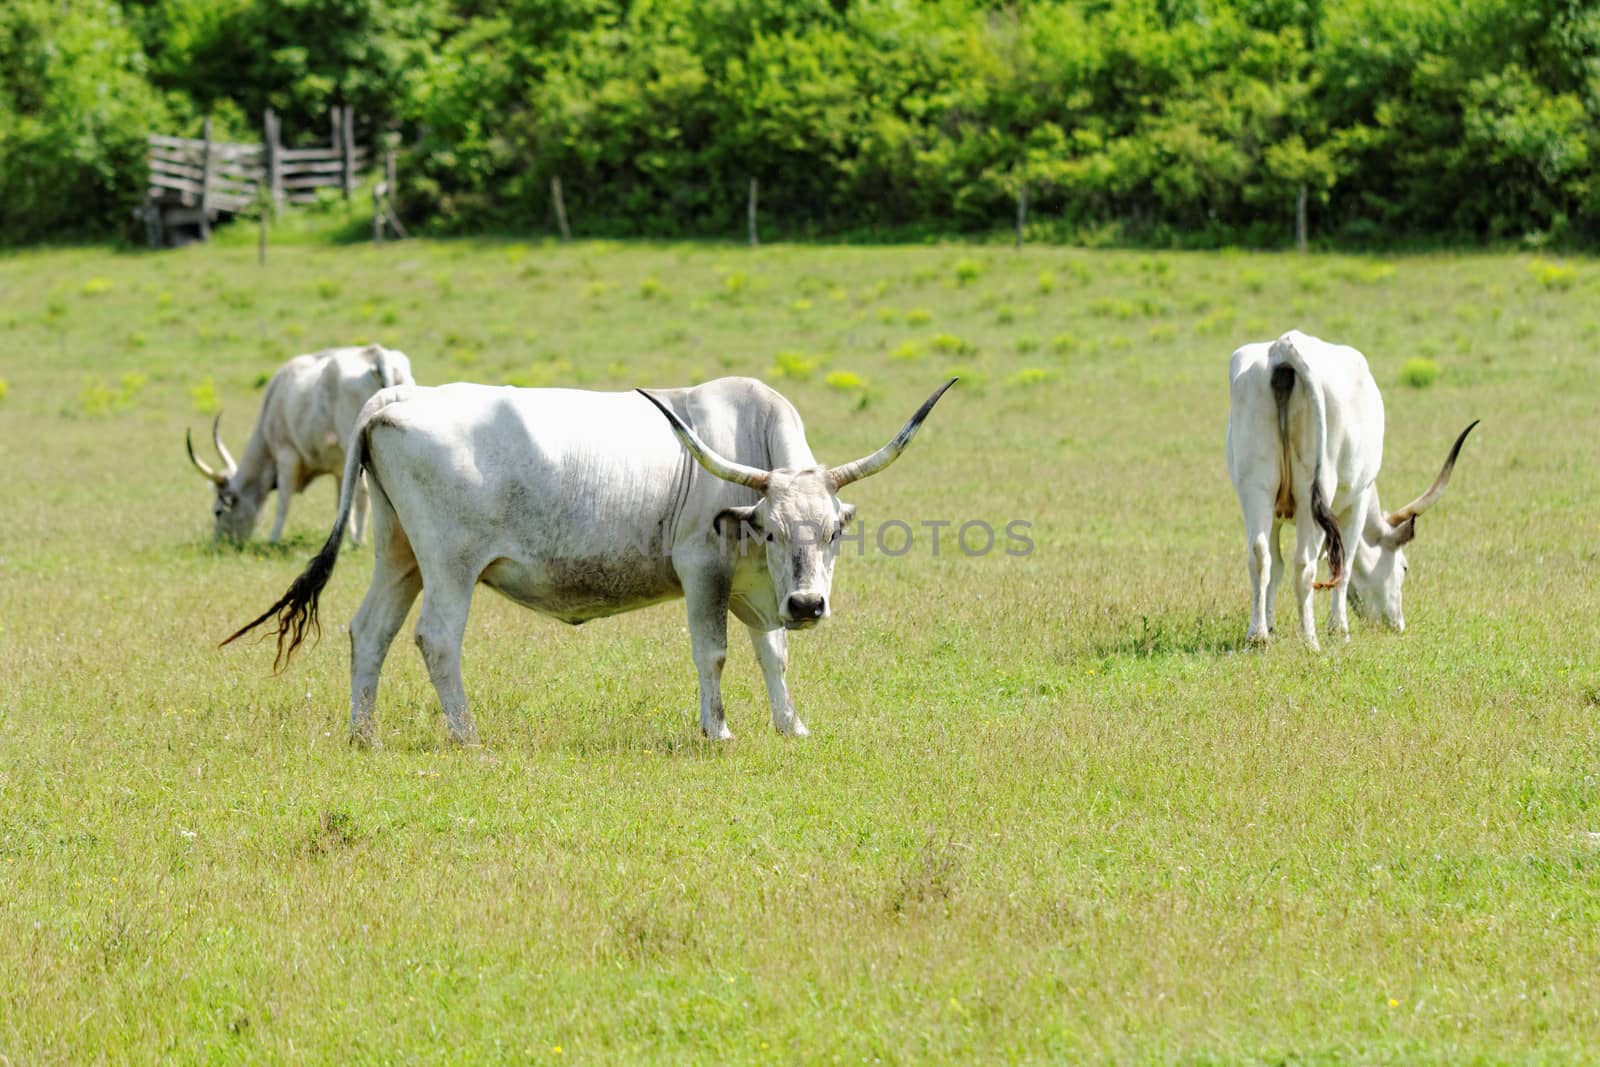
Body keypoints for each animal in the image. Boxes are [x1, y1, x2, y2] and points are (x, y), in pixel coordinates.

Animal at [184, 347, 416, 547]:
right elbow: (342, 502)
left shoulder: (287, 455)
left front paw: (273, 539)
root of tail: (376, 355)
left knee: (362, 493)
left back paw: (358, 541)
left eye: (218, 511)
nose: (219, 543)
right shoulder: (340, 467)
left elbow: (283, 501)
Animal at [220, 379, 953, 748]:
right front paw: (717, 729)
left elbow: (773, 653)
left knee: (370, 631)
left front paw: (790, 724)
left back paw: (364, 735)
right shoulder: (703, 571)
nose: (807, 604)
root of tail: (395, 397)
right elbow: (714, 653)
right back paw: (466, 735)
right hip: (451, 563)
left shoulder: (755, 590)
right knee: (437, 639)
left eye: (833, 532)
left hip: (398, 554)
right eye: (769, 531)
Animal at [1222, 331, 1472, 652]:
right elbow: (1346, 563)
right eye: (1404, 568)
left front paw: (1270, 627)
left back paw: (1256, 636)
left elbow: (1275, 566)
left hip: (1256, 488)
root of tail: (1283, 348)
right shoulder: (1358, 500)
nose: (1397, 624)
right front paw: (1339, 629)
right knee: (1304, 564)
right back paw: (1310, 640)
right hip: (1313, 492)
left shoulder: (1274, 513)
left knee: (1259, 557)